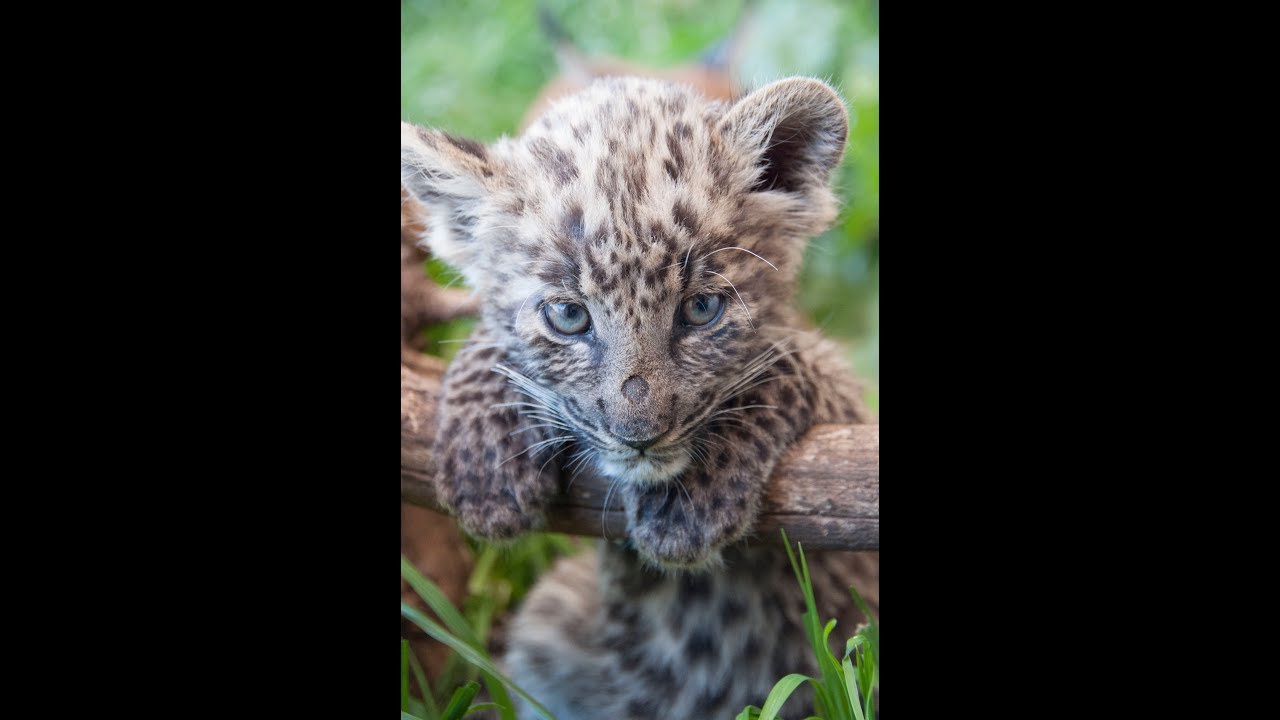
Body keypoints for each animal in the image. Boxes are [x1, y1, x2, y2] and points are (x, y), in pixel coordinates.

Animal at [401, 75, 878, 719]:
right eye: (568, 316)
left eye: (702, 309)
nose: (640, 436)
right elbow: (489, 342)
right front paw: (483, 468)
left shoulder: (849, 413)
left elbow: (782, 364)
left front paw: (689, 505)